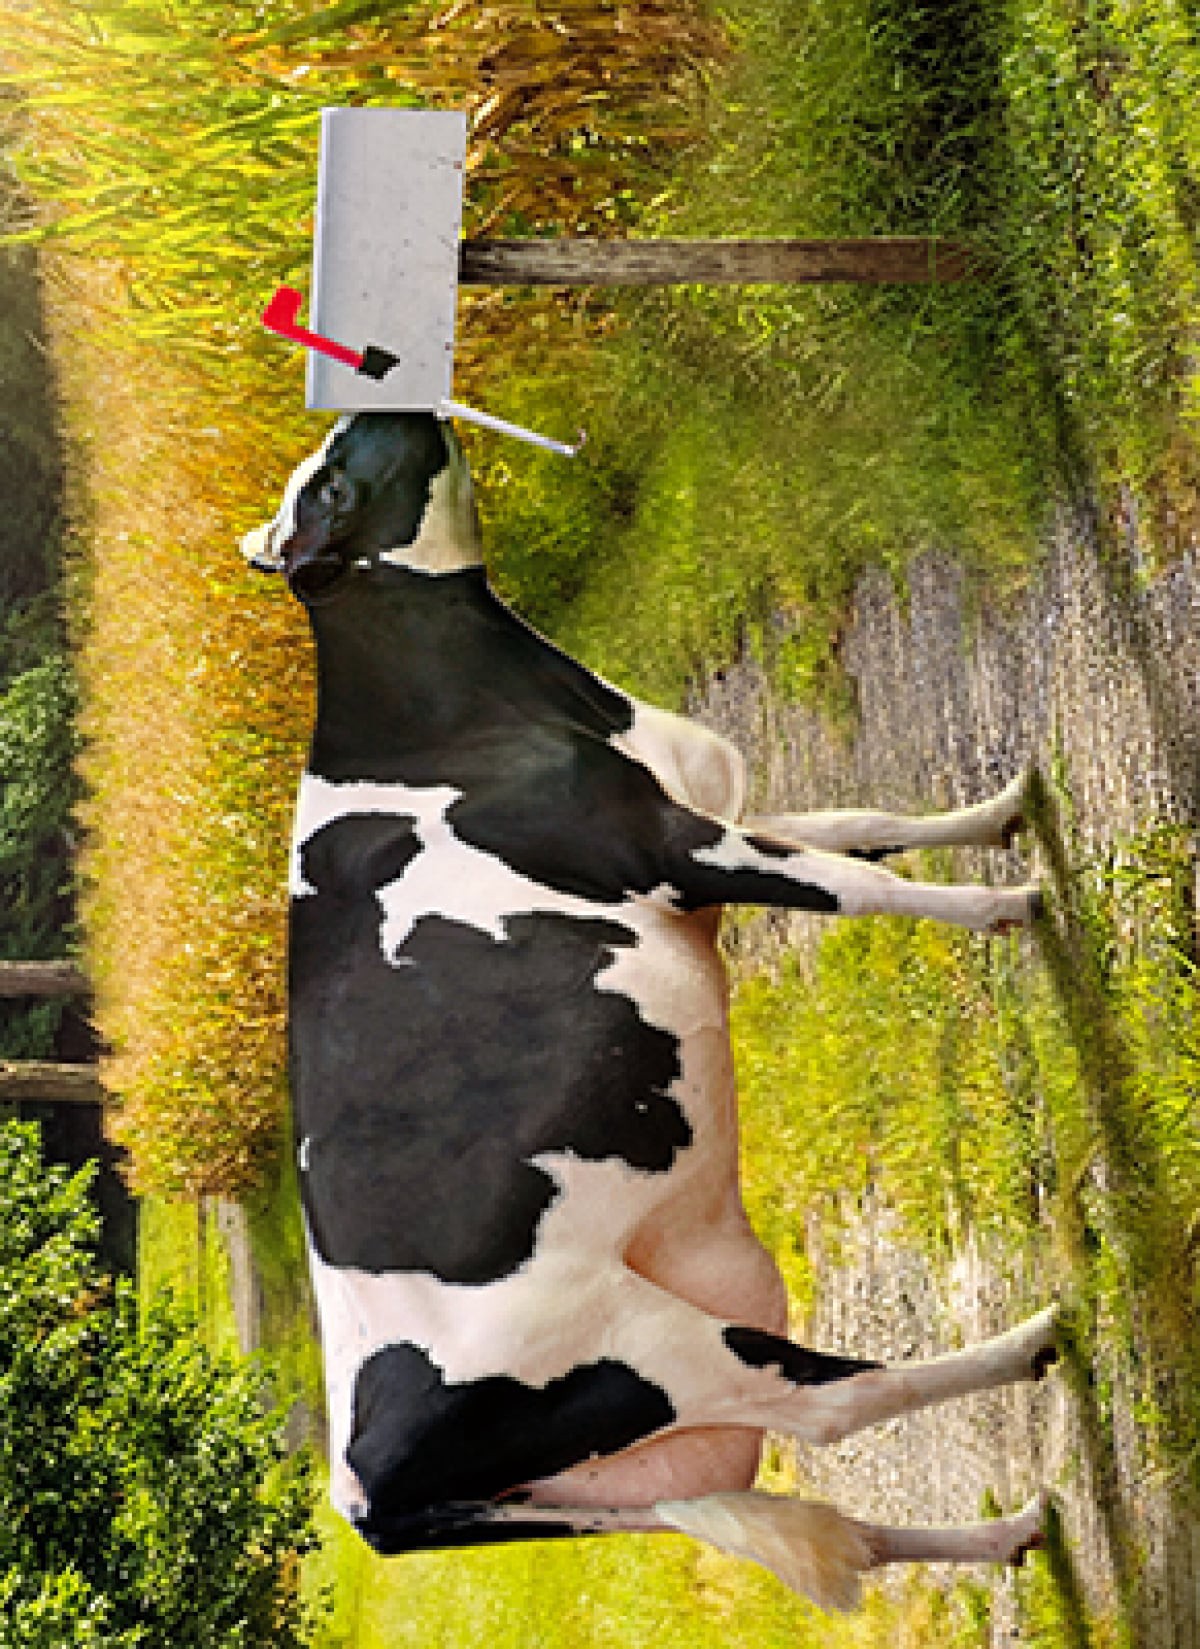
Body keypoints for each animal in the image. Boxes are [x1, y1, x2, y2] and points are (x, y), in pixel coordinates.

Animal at [242, 411, 1059, 1613]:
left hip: (620, 1485)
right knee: (834, 1400)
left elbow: (861, 827)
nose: (378, 402)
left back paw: (1018, 1530)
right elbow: (852, 882)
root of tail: (354, 1494)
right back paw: (1042, 1336)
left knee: (831, 1527)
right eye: (333, 487)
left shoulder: (701, 817)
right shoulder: (668, 849)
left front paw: (1002, 809)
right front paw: (1013, 903)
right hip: (648, 1348)